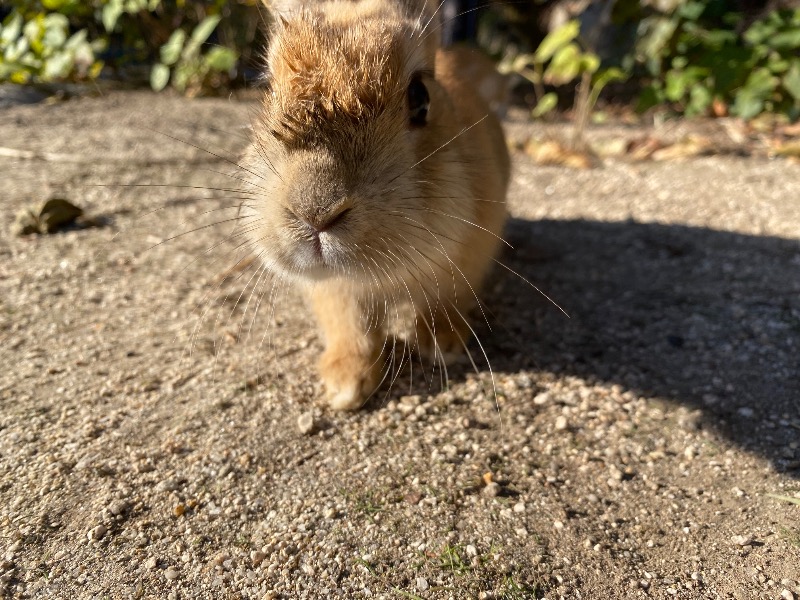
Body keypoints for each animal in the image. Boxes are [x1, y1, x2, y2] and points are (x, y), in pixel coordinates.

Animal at [241, 0, 510, 408]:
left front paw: (443, 345)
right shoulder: (335, 291)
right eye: (267, 86)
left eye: (420, 97)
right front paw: (344, 385)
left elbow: (446, 300)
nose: (315, 213)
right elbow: (350, 325)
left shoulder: (468, 257)